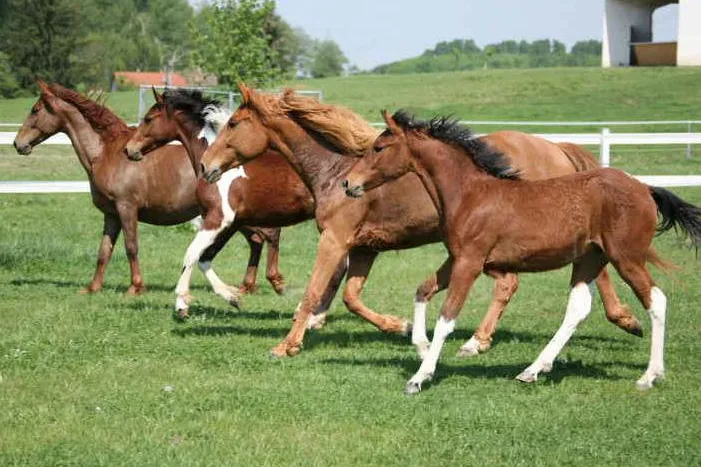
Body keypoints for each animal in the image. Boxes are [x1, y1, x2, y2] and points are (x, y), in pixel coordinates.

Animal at [12, 81, 285, 300]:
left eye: (35, 110)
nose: (18, 143)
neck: (106, 153)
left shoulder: (126, 208)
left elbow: (131, 246)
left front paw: (135, 287)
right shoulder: (111, 214)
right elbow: (104, 251)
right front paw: (92, 288)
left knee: (269, 235)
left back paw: (271, 282)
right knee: (258, 240)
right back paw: (247, 286)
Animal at [124, 88, 315, 316]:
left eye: (149, 119)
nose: (128, 149)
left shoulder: (218, 219)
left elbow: (191, 254)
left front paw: (181, 304)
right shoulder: (231, 223)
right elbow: (205, 258)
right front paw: (233, 297)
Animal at [199, 83, 640, 359]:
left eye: (233, 124)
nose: (205, 166)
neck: (335, 169)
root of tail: (557, 147)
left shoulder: (336, 240)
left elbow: (313, 292)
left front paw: (286, 345)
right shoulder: (364, 248)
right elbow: (350, 296)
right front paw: (398, 327)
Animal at [343, 110, 701, 393]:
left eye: (378, 147)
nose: (348, 184)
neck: (471, 194)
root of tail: (645, 188)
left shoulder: (469, 263)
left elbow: (447, 318)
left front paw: (419, 377)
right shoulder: (456, 258)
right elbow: (422, 290)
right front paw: (419, 344)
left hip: (626, 256)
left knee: (656, 300)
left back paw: (649, 376)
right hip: (589, 258)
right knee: (579, 307)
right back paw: (532, 370)